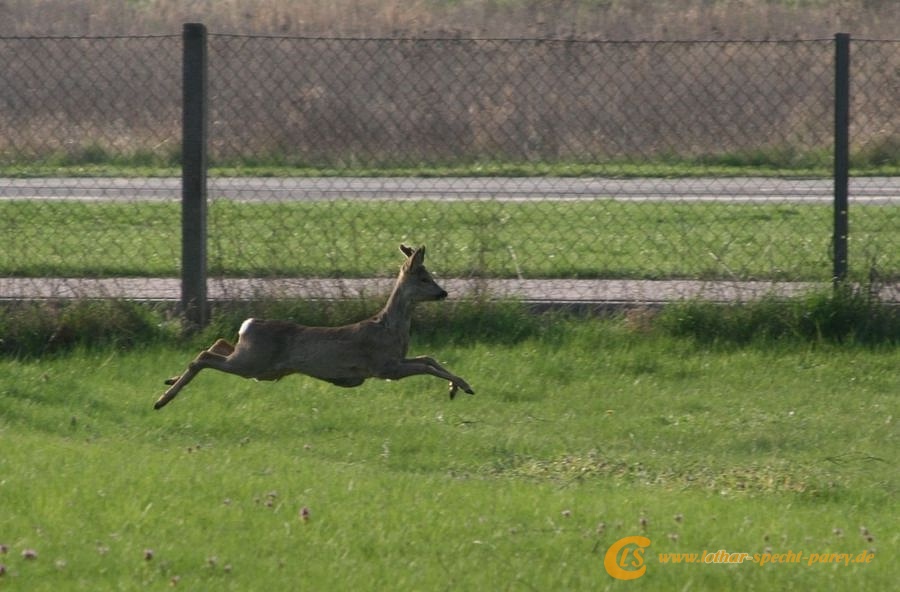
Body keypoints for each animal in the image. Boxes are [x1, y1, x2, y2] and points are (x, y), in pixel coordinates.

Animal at [153, 243, 478, 410]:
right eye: (424, 278)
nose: (443, 293)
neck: (389, 328)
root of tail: (249, 324)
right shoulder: (383, 366)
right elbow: (425, 365)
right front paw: (463, 386)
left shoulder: (393, 361)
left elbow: (429, 358)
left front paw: (455, 387)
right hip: (254, 363)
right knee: (203, 357)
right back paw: (162, 400)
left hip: (254, 360)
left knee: (217, 344)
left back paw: (168, 381)